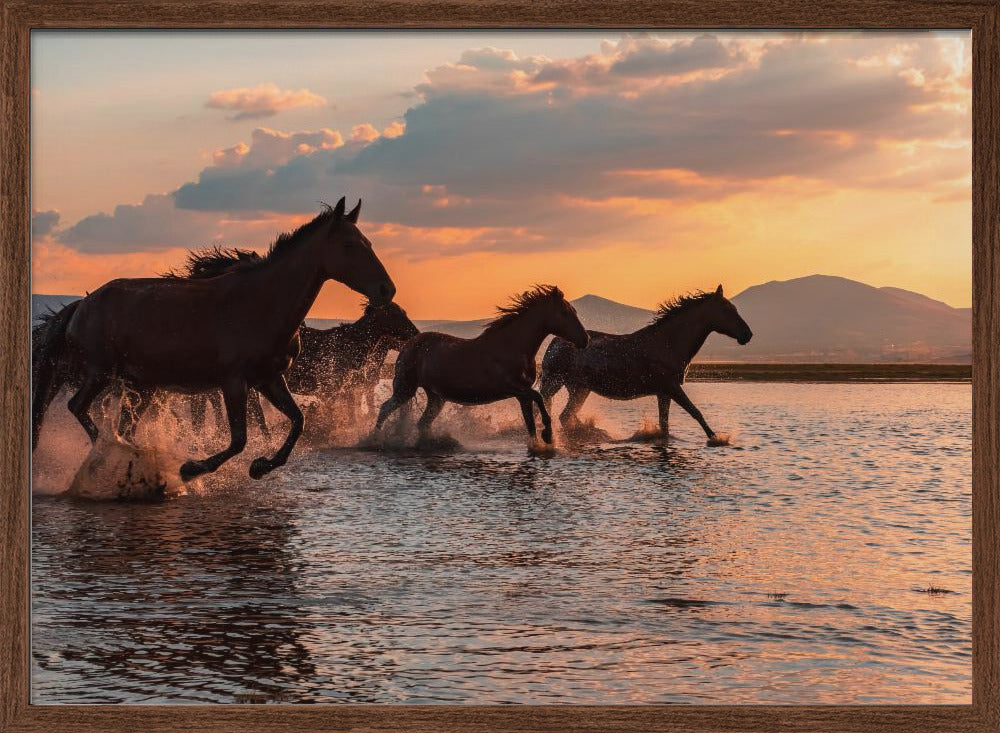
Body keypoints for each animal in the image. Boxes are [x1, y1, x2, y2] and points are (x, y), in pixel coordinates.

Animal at [32, 197, 395, 481]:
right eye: (350, 245)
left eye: (370, 243)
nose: (386, 289)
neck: (261, 303)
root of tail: (82, 304)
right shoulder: (233, 382)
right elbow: (238, 440)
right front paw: (191, 468)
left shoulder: (269, 379)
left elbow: (297, 421)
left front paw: (261, 466)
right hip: (101, 372)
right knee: (78, 407)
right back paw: (117, 455)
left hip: (141, 386)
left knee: (123, 425)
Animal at [375, 285, 589, 446]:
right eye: (565, 313)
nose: (585, 340)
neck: (512, 346)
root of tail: (408, 345)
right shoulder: (514, 388)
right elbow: (539, 397)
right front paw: (548, 435)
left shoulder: (522, 395)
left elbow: (530, 424)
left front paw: (540, 443)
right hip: (405, 388)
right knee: (385, 409)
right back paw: (374, 440)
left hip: (436, 397)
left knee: (422, 423)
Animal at [538, 285, 752, 443]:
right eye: (727, 310)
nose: (747, 334)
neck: (669, 343)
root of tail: (555, 342)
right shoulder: (672, 387)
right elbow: (695, 412)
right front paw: (717, 438)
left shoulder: (664, 392)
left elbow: (665, 425)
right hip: (556, 382)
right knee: (555, 413)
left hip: (579, 389)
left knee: (565, 416)